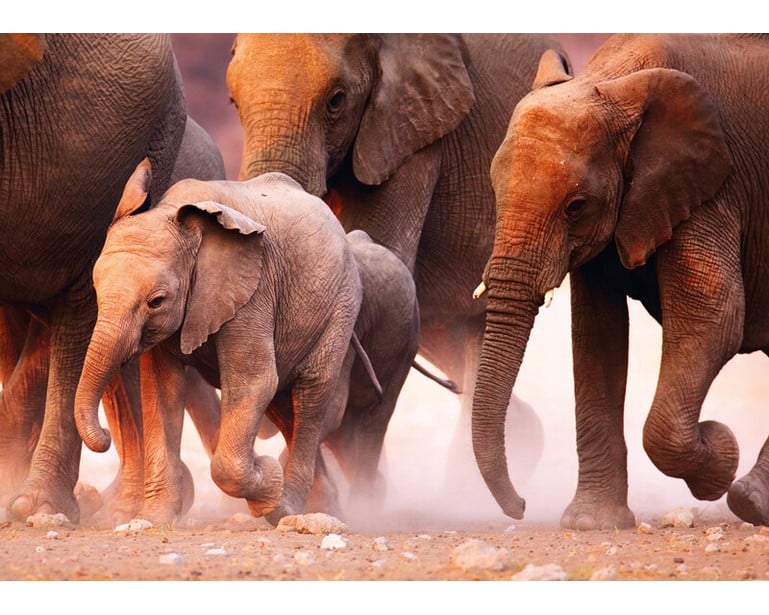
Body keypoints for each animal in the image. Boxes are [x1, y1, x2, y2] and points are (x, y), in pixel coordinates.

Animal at [74, 169, 364, 525]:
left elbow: (254, 382)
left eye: (156, 301)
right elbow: (162, 389)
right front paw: (154, 520)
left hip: (341, 306)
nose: (103, 437)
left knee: (311, 395)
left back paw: (286, 507)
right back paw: (322, 507)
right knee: (284, 408)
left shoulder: (253, 290)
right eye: (96, 290)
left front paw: (268, 477)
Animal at [471, 33, 769, 529]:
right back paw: (753, 499)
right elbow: (597, 335)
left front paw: (720, 452)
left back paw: (747, 499)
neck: (615, 81)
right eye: (493, 190)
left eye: (576, 206)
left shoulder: (714, 187)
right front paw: (592, 524)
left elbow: (714, 315)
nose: (522, 507)